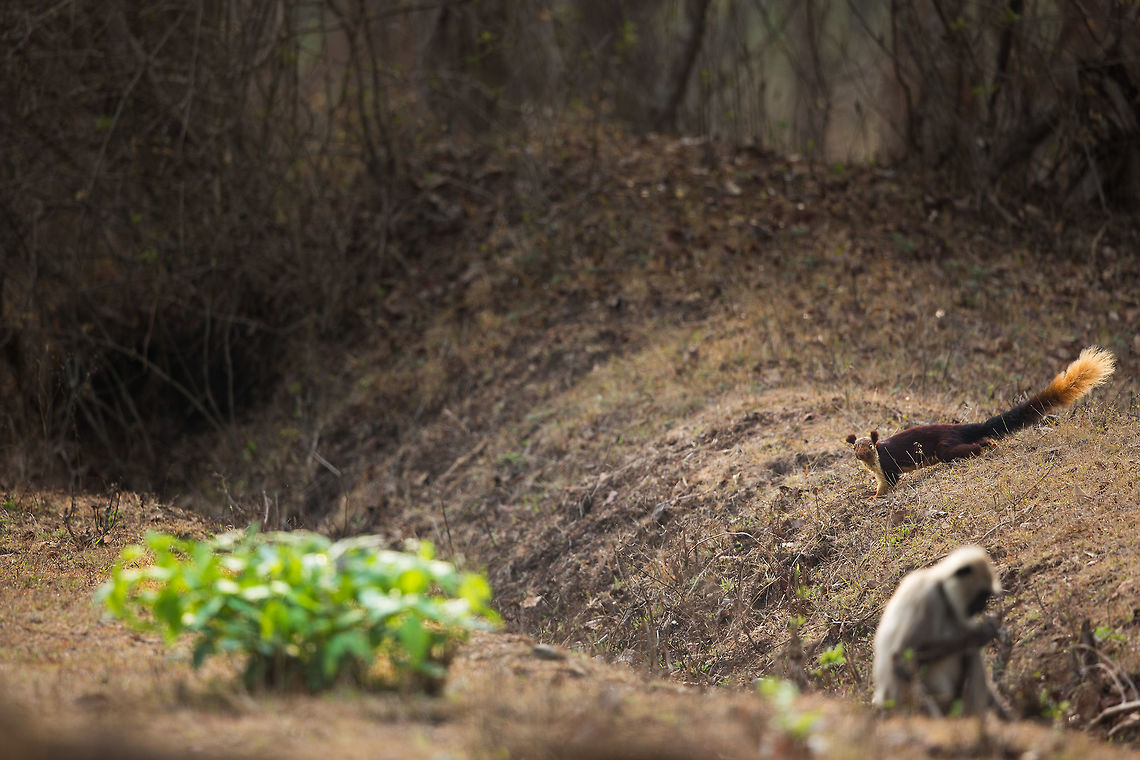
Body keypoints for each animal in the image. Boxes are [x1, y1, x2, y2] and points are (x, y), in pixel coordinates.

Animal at [846, 346, 1115, 496]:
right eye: (855, 447)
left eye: (868, 446)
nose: (861, 453)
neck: (873, 465)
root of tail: (958, 427)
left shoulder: (888, 466)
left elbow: (889, 484)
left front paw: (873, 498)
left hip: (945, 447)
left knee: (972, 446)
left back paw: (986, 447)